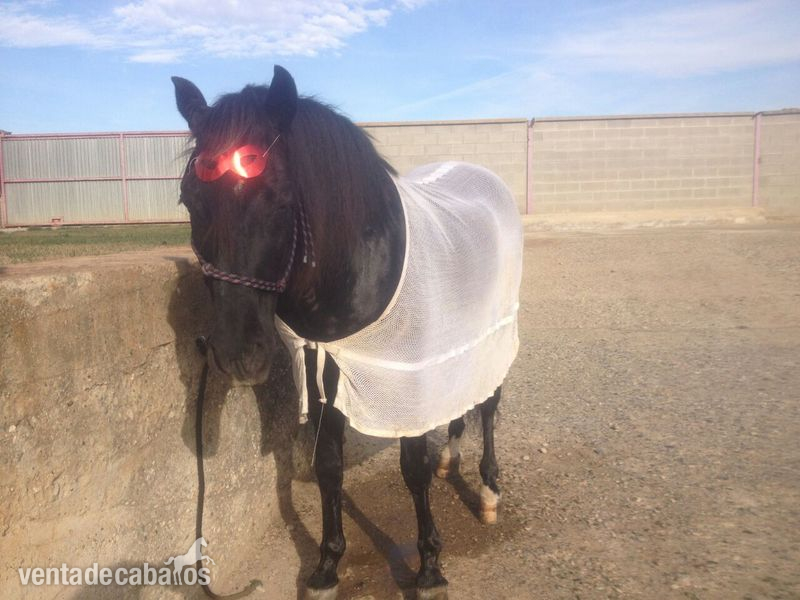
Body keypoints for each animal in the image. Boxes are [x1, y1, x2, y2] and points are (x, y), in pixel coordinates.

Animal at [172, 65, 523, 599]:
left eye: (280, 200)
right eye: (190, 199)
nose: (239, 356)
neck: (359, 266)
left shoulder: (403, 381)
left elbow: (412, 472)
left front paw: (429, 569)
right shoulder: (325, 369)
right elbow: (328, 469)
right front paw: (325, 567)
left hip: (492, 332)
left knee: (487, 402)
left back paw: (487, 491)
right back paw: (452, 461)